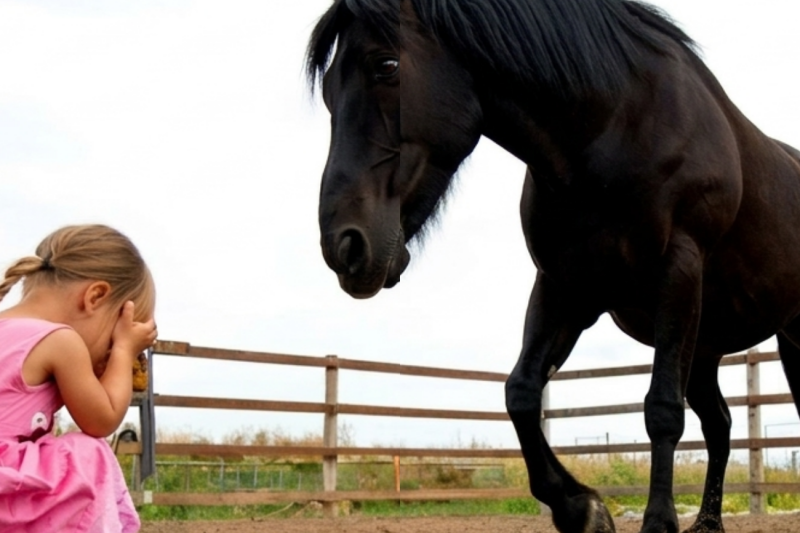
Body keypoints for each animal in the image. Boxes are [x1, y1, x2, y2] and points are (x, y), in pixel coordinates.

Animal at [306, 1, 800, 532]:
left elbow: (662, 408)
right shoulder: (564, 288)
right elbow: (521, 392)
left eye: (386, 65)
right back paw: (707, 522)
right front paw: (581, 507)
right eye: (329, 88)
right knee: (720, 423)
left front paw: (656, 521)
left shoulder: (677, 274)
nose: (344, 247)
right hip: (703, 346)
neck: (618, 131)